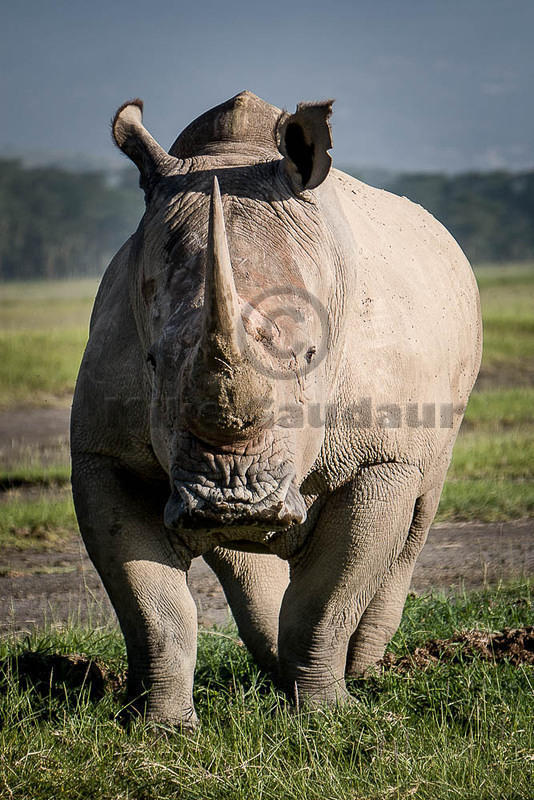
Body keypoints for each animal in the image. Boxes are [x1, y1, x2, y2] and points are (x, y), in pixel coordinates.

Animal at [69, 90, 484, 728]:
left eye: (311, 356)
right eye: (153, 361)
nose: (233, 500)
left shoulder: (380, 459)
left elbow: (328, 596)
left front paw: (326, 714)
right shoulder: (103, 454)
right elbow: (152, 607)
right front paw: (159, 728)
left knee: (420, 507)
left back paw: (361, 667)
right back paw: (275, 660)